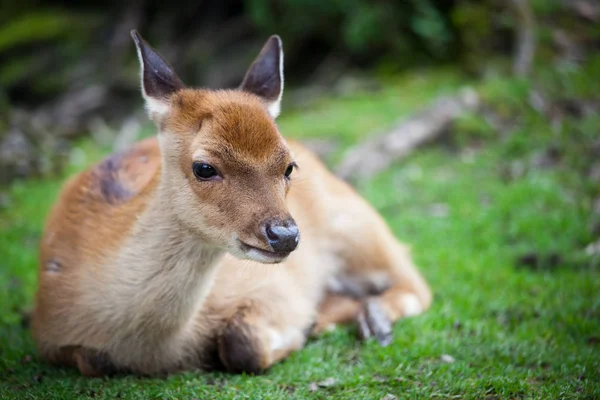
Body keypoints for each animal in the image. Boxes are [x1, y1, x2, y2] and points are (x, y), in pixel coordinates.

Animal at [31, 29, 432, 376]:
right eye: (204, 167)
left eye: (288, 165)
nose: (285, 235)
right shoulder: (48, 336)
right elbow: (90, 360)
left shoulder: (274, 288)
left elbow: (244, 345)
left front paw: (306, 326)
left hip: (361, 228)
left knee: (415, 282)